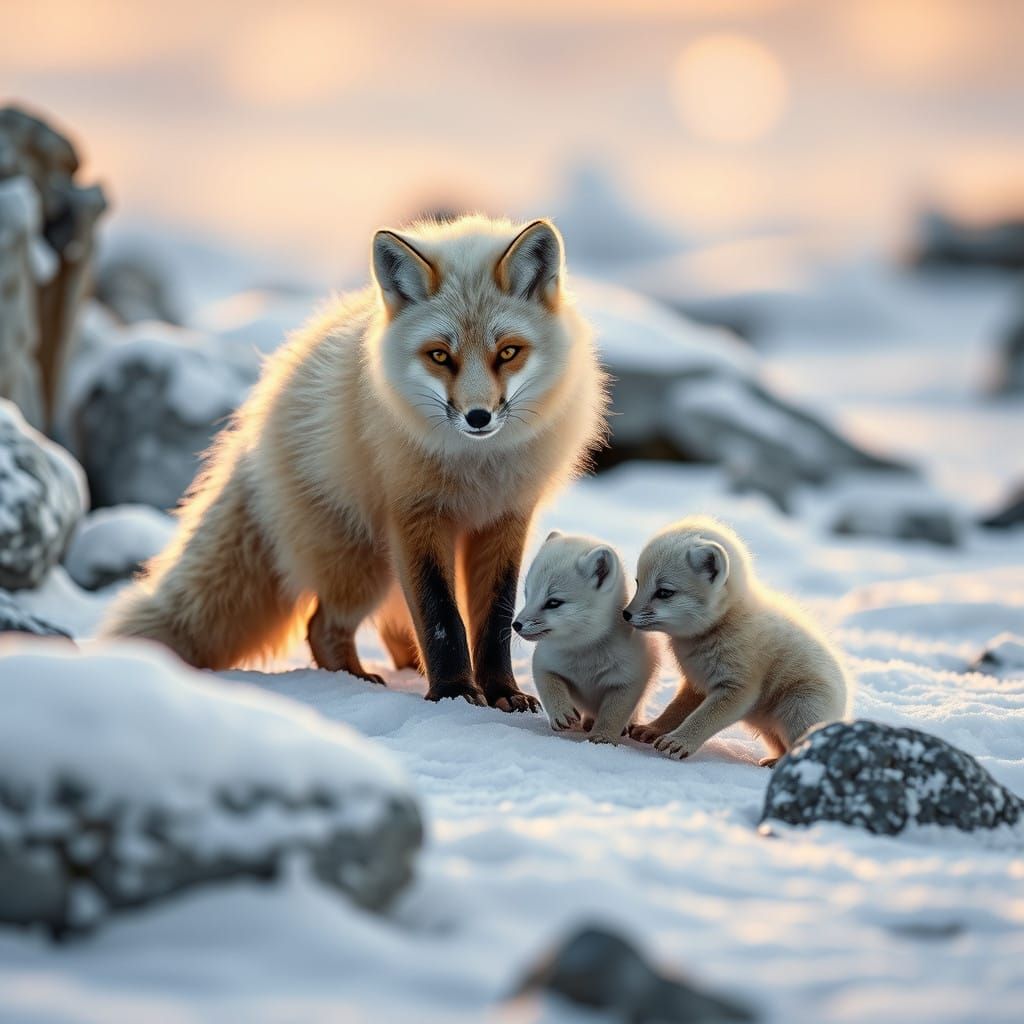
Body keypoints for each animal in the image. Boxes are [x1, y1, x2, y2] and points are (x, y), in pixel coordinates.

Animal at [104, 215, 608, 711]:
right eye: (440, 356)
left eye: (507, 352)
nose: (478, 417)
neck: (477, 468)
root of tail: (257, 422)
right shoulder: (416, 515)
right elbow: (441, 616)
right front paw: (454, 694)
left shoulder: (505, 518)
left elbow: (494, 619)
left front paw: (502, 691)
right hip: (362, 564)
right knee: (322, 627)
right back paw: (354, 681)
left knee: (387, 625)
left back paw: (406, 669)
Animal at [624, 517, 850, 765]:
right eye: (637, 582)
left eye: (664, 592)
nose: (625, 614)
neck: (724, 623)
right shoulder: (697, 684)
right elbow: (675, 710)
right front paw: (652, 728)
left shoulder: (739, 687)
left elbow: (703, 718)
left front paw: (678, 742)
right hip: (772, 729)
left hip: (799, 708)